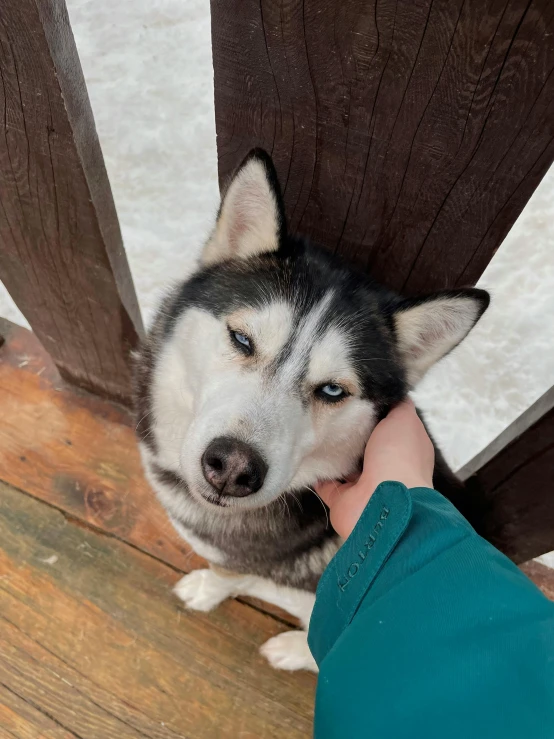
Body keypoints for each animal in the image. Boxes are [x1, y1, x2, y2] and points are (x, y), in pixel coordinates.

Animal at [134, 149, 488, 672]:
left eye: (333, 390)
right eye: (242, 339)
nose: (233, 468)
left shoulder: (242, 560)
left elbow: (227, 573)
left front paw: (209, 589)